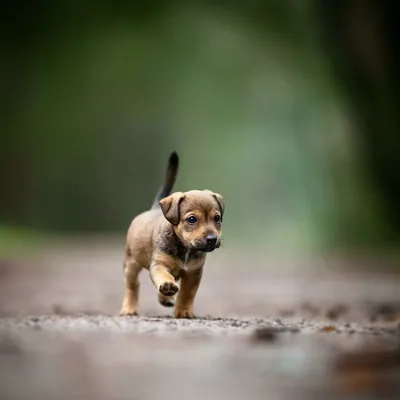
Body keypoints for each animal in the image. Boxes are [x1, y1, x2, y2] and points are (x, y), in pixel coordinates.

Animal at [119, 152, 225, 318]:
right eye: (192, 219)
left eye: (217, 218)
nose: (212, 239)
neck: (185, 248)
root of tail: (154, 208)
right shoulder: (159, 265)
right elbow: (164, 276)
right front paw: (168, 286)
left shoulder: (193, 273)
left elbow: (187, 294)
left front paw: (184, 311)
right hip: (130, 265)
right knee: (132, 286)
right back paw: (130, 308)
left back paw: (166, 297)